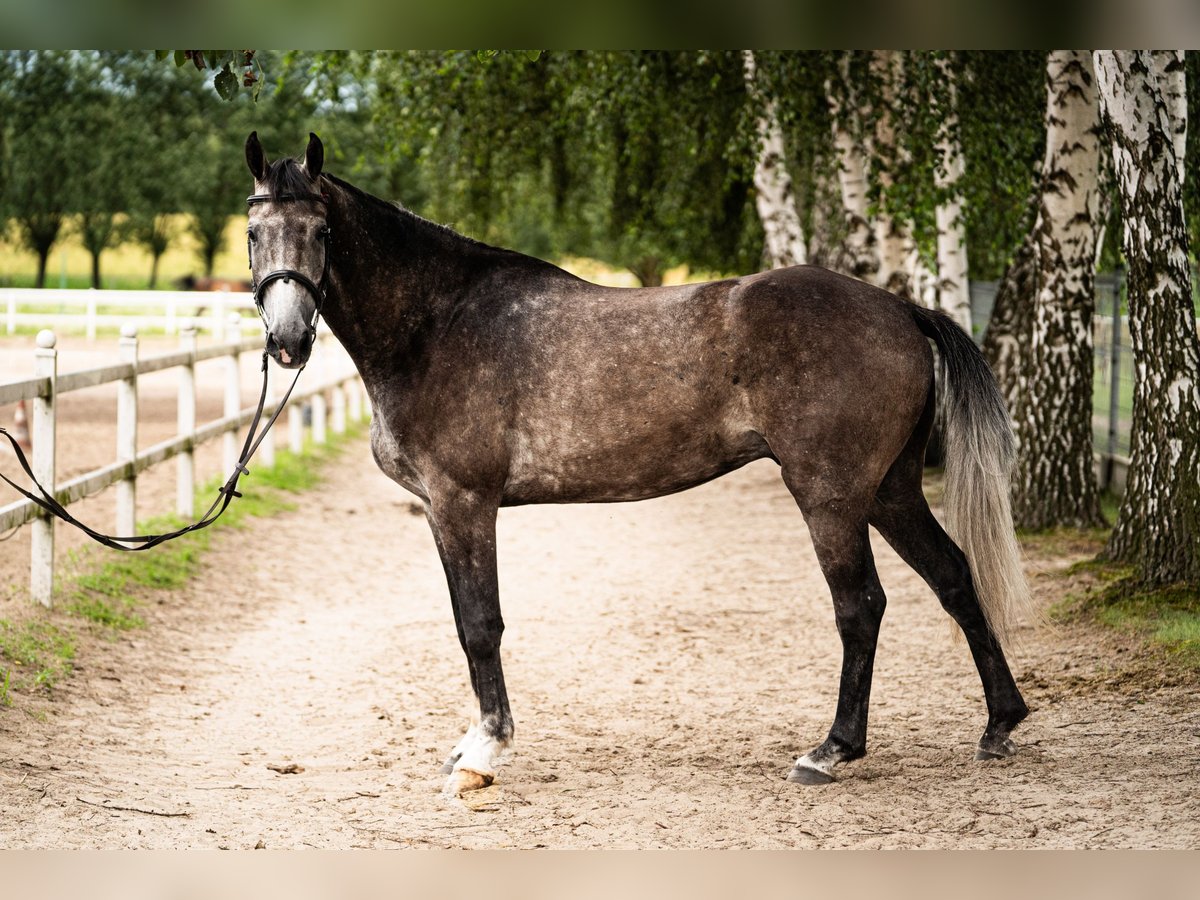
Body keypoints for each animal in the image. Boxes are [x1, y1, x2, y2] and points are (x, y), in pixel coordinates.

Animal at [241, 132, 1032, 796]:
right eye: (254, 233)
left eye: (322, 232)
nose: (286, 341)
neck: (437, 324)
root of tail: (901, 310)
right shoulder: (438, 512)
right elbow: (466, 622)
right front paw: (472, 742)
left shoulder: (464, 502)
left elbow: (481, 625)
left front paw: (484, 752)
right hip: (890, 489)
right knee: (953, 577)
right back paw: (1000, 724)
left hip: (831, 494)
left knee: (861, 605)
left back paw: (831, 750)